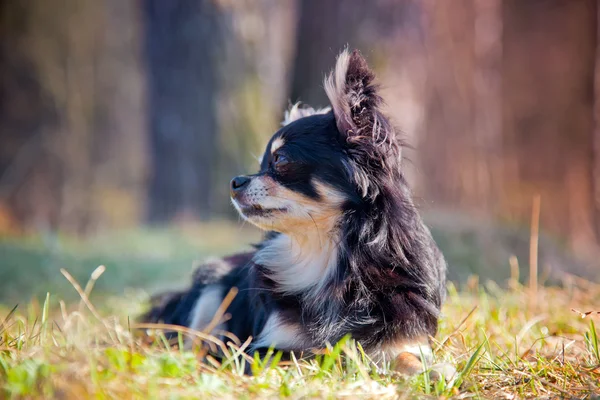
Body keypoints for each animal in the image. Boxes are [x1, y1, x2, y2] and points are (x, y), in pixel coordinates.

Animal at [143, 49, 452, 378]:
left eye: (280, 161)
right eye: (262, 163)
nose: (234, 181)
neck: (324, 254)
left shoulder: (400, 339)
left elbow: (412, 361)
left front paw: (436, 371)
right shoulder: (267, 349)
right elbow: (299, 361)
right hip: (210, 286)